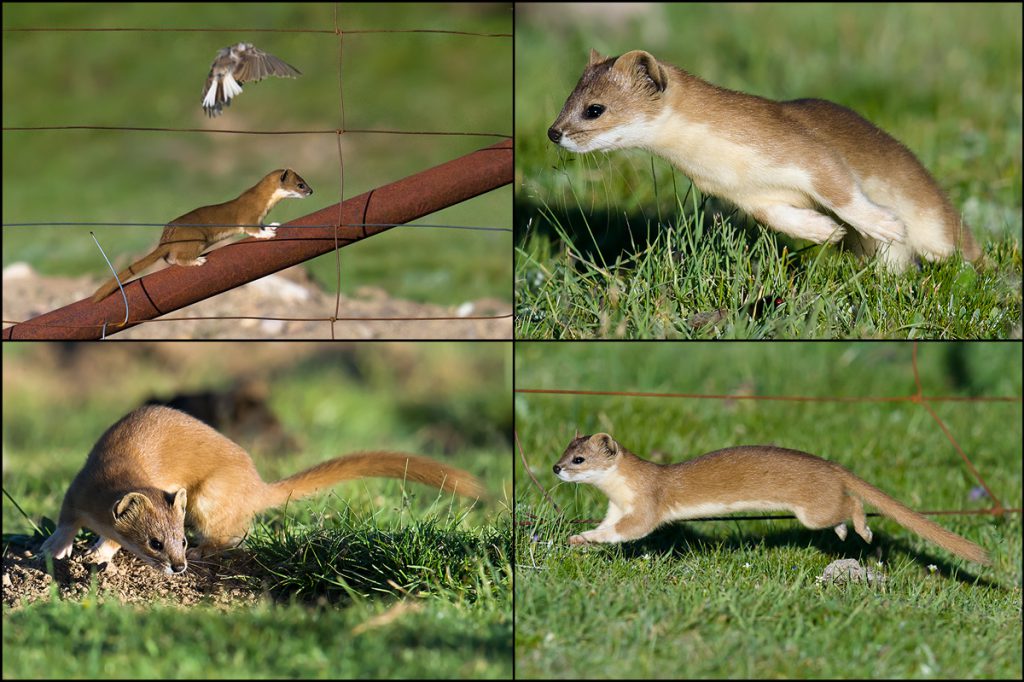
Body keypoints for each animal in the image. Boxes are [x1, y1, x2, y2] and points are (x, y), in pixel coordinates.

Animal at [92, 166, 311, 301]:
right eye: (300, 184)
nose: (312, 191)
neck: (264, 202)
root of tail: (166, 238)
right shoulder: (248, 217)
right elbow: (252, 230)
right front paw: (267, 235)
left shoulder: (259, 217)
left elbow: (262, 225)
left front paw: (272, 225)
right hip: (196, 239)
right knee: (180, 258)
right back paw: (197, 260)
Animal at [548, 49, 978, 272]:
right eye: (567, 99)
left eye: (594, 109)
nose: (554, 132)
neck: (727, 165)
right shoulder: (747, 195)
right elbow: (778, 216)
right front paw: (823, 230)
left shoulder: (810, 152)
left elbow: (841, 191)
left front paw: (884, 223)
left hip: (936, 221)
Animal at [552, 430, 991, 561]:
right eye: (562, 452)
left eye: (579, 459)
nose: (555, 468)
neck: (621, 491)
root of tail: (831, 465)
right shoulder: (616, 507)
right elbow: (608, 528)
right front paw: (580, 538)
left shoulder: (646, 503)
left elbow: (633, 529)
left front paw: (585, 539)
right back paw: (845, 533)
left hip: (812, 508)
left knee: (851, 502)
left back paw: (862, 531)